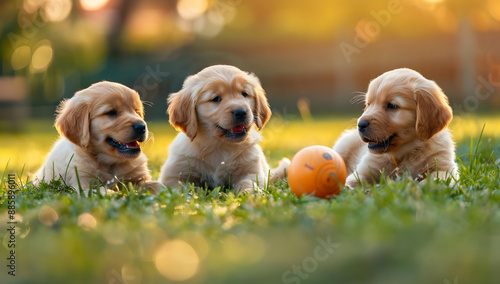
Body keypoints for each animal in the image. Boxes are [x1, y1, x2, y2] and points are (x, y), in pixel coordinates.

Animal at [33, 81, 162, 194]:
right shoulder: (83, 183)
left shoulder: (139, 177)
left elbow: (158, 185)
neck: (109, 163)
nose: (141, 127)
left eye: (136, 111)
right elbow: (102, 191)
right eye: (111, 112)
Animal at [158, 64, 292, 193]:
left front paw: (251, 192)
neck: (219, 145)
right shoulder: (174, 173)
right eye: (216, 98)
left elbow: (248, 181)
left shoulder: (251, 169)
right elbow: (178, 188)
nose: (241, 112)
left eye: (244, 94)